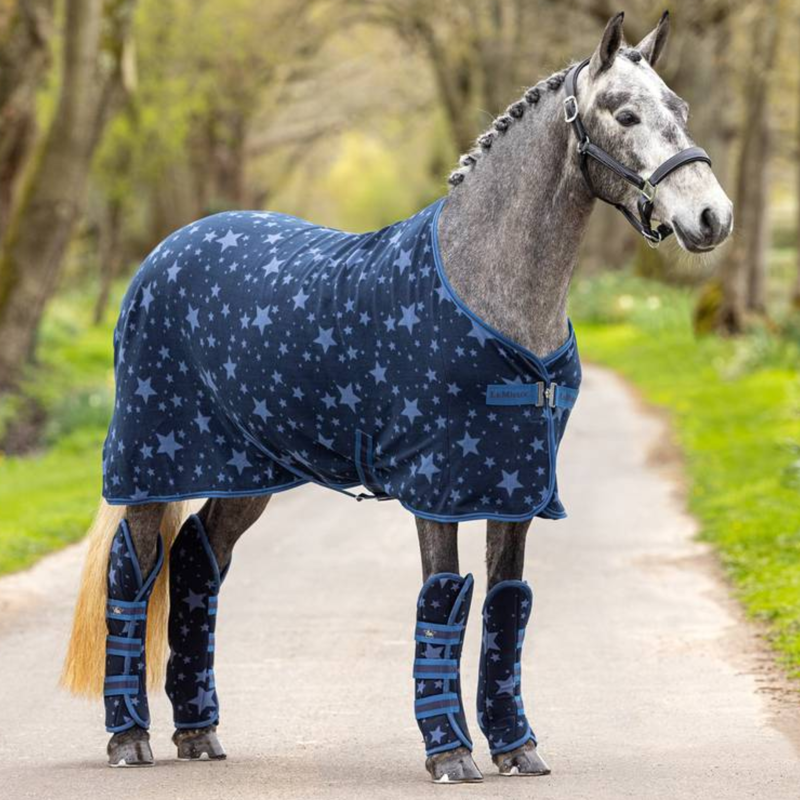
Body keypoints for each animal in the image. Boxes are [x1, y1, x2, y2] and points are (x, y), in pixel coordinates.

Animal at [62, 11, 732, 783]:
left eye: (680, 107)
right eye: (624, 114)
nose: (712, 217)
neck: (487, 290)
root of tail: (162, 257)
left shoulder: (513, 487)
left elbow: (506, 606)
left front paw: (517, 748)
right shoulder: (437, 489)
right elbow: (442, 599)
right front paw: (450, 753)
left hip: (248, 475)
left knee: (200, 562)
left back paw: (199, 733)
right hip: (151, 468)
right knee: (132, 576)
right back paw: (129, 739)